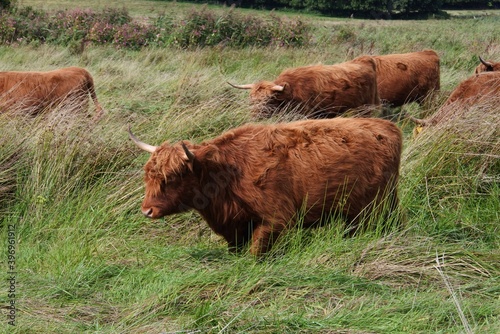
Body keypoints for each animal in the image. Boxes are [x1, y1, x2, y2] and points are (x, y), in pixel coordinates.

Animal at [129, 117, 402, 256]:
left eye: (173, 177)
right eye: (148, 177)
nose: (147, 211)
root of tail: (387, 127)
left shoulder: (277, 217)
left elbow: (256, 249)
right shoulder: (234, 225)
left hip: (372, 208)